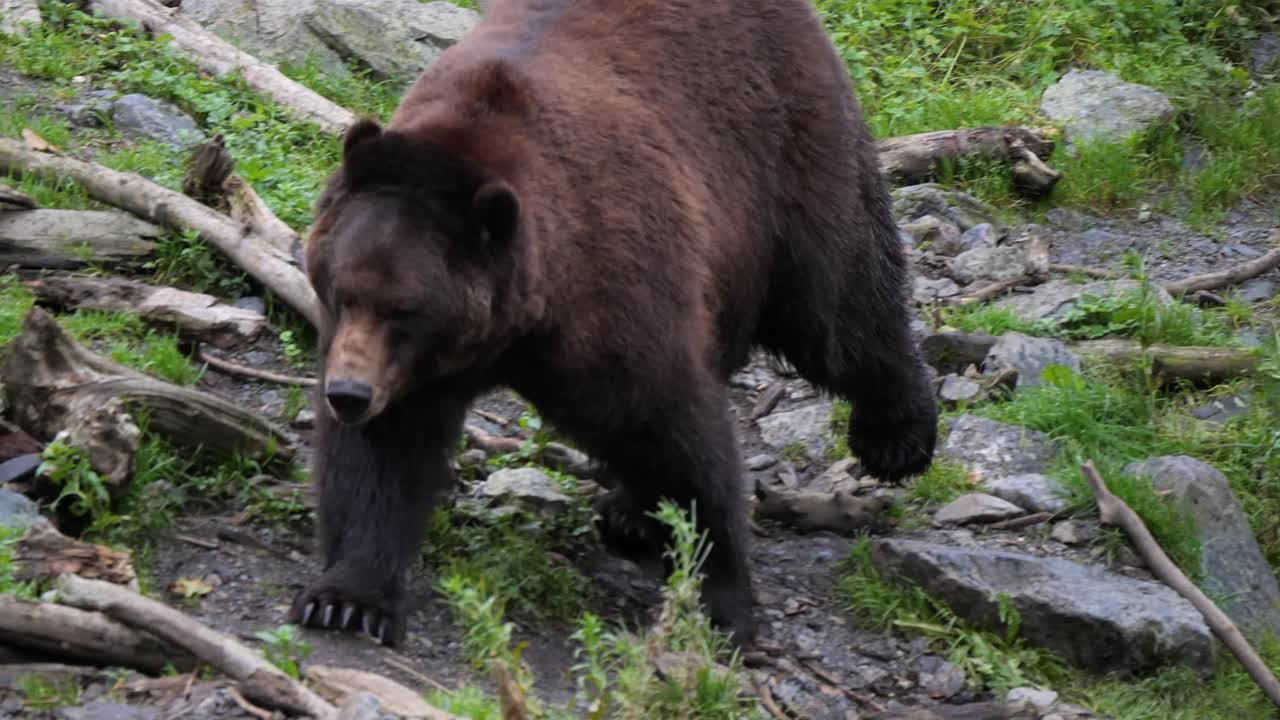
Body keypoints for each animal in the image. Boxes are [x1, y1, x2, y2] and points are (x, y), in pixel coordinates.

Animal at [289, 0, 939, 649]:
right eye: (343, 292)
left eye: (407, 309)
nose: (349, 394)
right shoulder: (405, 366)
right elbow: (382, 459)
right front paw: (346, 600)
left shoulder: (609, 290)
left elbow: (672, 430)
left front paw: (721, 600)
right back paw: (630, 513)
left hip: (785, 160)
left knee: (838, 307)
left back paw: (897, 438)